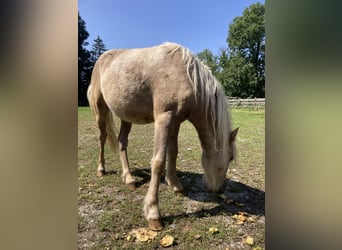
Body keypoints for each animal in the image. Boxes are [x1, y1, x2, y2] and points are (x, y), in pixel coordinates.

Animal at [87, 41, 239, 230]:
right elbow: (158, 161)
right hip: (100, 110)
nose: (221, 189)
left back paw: (129, 178)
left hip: (126, 116)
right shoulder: (163, 117)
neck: (186, 75)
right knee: (102, 137)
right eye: (230, 157)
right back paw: (101, 170)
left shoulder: (176, 121)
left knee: (122, 142)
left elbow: (173, 153)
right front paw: (153, 214)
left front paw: (175, 185)